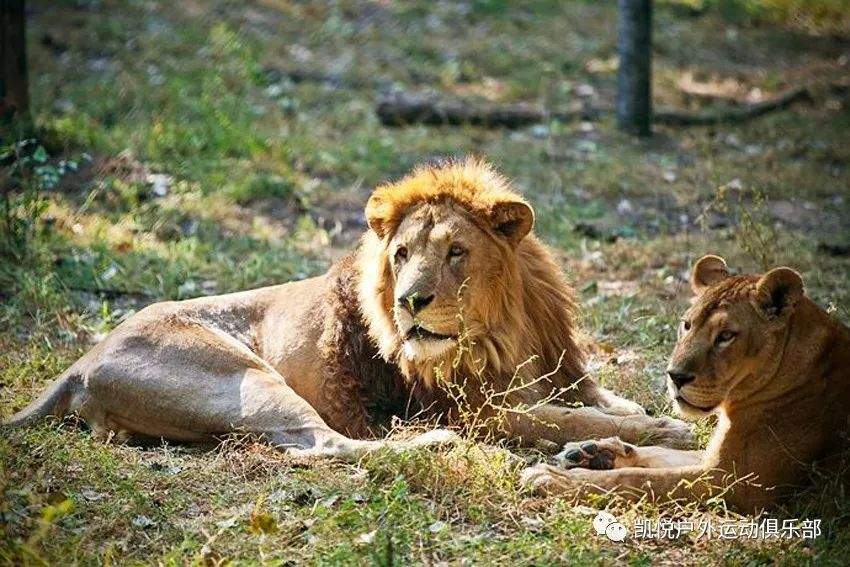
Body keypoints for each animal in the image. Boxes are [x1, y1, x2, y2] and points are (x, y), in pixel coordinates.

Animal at [4, 158, 688, 460]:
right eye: (402, 253)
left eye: (457, 252)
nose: (411, 300)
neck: (506, 330)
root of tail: (79, 363)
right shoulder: (482, 414)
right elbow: (570, 420)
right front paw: (663, 431)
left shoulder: (559, 370)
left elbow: (601, 401)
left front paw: (638, 415)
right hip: (243, 377)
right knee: (323, 445)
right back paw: (431, 443)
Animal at [520, 255, 848, 512]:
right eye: (687, 325)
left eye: (726, 336)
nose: (675, 376)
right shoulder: (713, 460)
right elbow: (661, 454)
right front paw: (592, 452)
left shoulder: (738, 483)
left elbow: (639, 480)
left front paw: (556, 478)